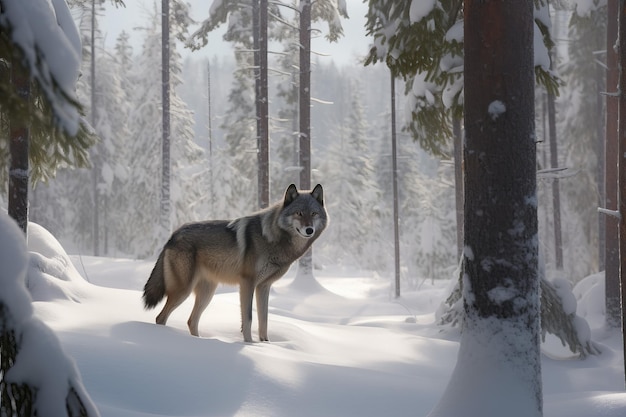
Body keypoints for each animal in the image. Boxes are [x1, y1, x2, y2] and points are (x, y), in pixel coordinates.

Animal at [142, 184, 326, 342]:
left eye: (314, 214)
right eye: (299, 213)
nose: (309, 230)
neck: (273, 238)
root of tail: (173, 235)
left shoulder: (264, 286)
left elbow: (264, 321)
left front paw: (265, 344)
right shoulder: (247, 283)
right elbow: (248, 319)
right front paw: (250, 345)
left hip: (207, 294)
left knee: (191, 321)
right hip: (183, 291)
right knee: (160, 317)